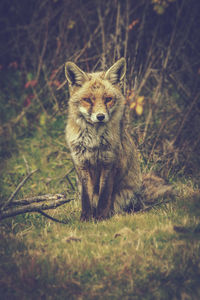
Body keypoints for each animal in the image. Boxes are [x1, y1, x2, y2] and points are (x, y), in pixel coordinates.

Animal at [65, 57, 143, 220]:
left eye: (108, 99)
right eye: (88, 100)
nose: (100, 116)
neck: (93, 141)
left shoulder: (109, 163)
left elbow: (104, 195)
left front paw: (101, 218)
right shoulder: (82, 164)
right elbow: (86, 198)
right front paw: (86, 219)